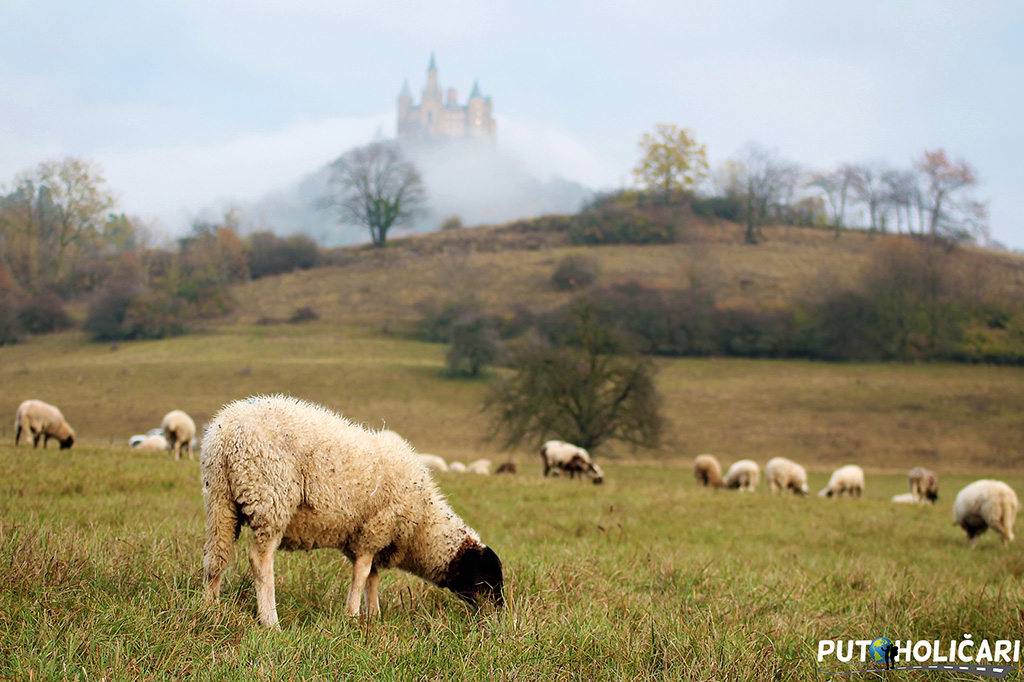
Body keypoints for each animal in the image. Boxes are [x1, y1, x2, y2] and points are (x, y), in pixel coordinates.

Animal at [200, 393, 503, 626]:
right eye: (488, 578)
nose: (499, 614)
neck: (423, 523)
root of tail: (226, 433)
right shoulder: (374, 531)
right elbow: (362, 576)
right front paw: (354, 616)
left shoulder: (368, 540)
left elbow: (373, 579)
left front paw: (374, 616)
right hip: (271, 497)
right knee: (259, 559)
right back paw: (270, 621)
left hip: (219, 500)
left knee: (217, 557)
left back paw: (211, 609)